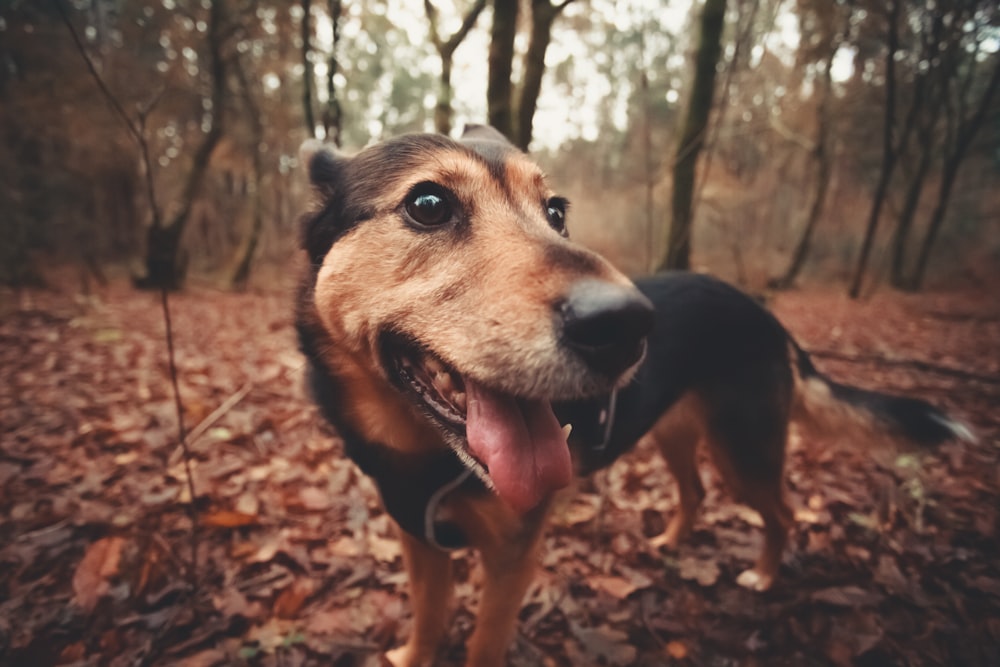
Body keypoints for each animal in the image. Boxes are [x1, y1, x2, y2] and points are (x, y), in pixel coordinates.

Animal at [294, 126, 968, 667]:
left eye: (556, 212)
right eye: (428, 203)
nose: (624, 325)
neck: (418, 449)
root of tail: (768, 317)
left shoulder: (512, 556)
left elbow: (484, 645)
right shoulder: (419, 543)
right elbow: (429, 622)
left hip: (744, 450)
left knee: (782, 512)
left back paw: (764, 575)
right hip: (676, 434)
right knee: (695, 493)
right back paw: (672, 543)